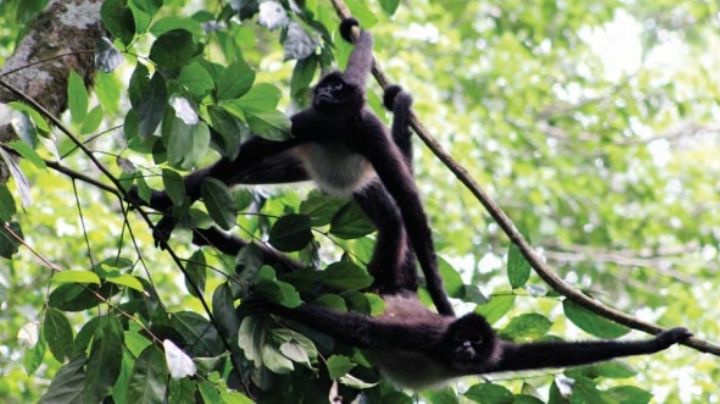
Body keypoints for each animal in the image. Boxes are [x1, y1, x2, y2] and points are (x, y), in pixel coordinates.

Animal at [143, 18, 452, 316]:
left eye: (336, 88)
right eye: (325, 87)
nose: (325, 91)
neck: (338, 128)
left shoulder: (369, 132)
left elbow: (408, 202)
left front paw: (441, 299)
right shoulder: (311, 121)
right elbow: (243, 157)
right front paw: (170, 217)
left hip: (365, 182)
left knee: (392, 218)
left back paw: (381, 282)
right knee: (242, 172)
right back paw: (163, 199)